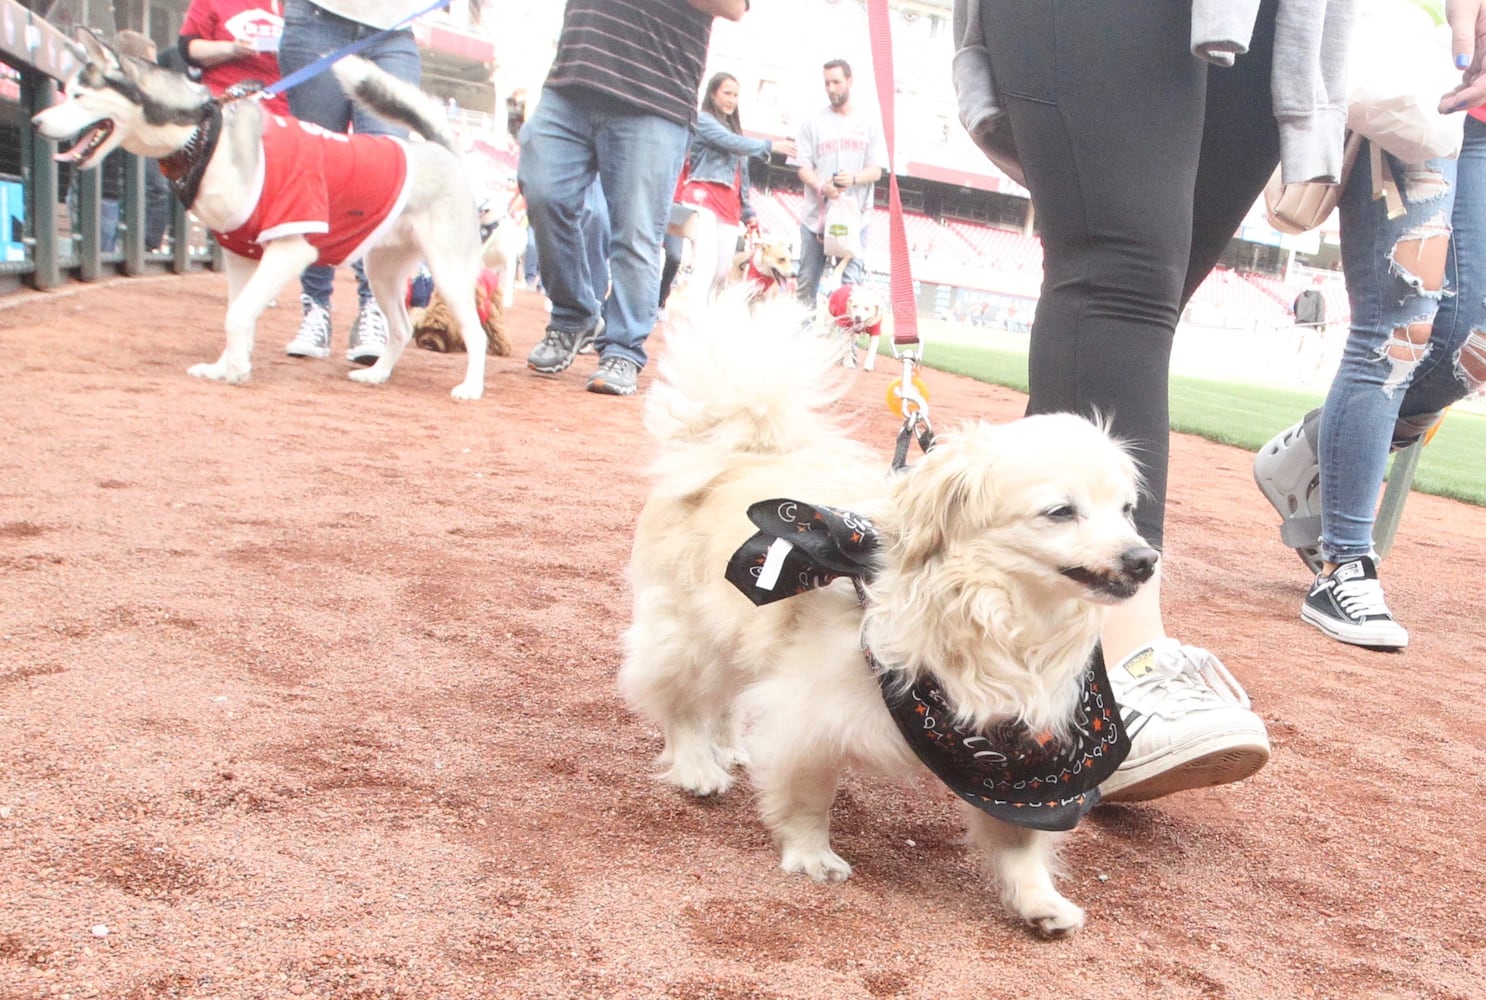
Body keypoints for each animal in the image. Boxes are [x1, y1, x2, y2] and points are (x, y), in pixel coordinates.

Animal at [33, 31, 487, 398]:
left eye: (79, 95)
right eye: (69, 90)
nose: (37, 122)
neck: (204, 136)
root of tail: (442, 150)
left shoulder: (289, 250)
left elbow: (237, 315)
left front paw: (234, 368)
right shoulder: (240, 255)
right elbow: (239, 314)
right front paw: (226, 366)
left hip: (447, 272)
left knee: (475, 335)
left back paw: (470, 387)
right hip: (382, 272)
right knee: (402, 328)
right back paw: (377, 374)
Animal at [615, 291, 1159, 939]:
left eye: (1126, 511)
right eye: (1060, 512)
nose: (1144, 560)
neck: (1000, 619)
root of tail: (736, 452)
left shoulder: (1021, 759)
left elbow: (1022, 843)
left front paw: (1038, 902)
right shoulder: (810, 715)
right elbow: (808, 796)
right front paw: (811, 856)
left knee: (725, 699)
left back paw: (728, 747)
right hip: (691, 633)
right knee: (680, 702)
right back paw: (698, 765)